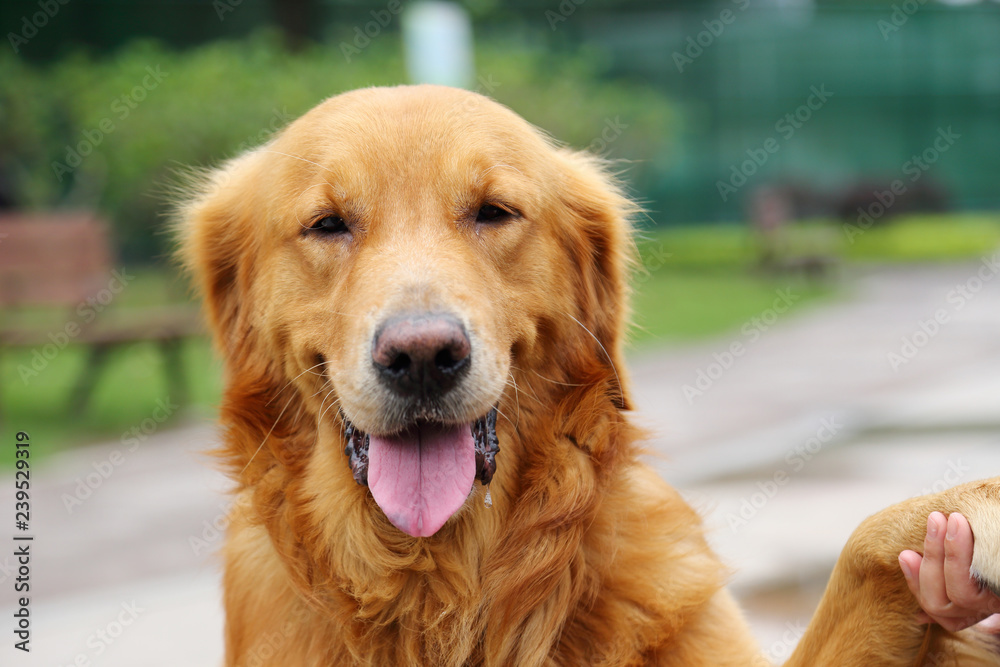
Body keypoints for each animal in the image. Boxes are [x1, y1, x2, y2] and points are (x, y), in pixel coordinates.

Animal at [180, 86, 1000, 664]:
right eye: (327, 224)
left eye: (493, 212)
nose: (421, 356)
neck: (450, 586)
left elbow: (865, 540)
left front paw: (978, 506)